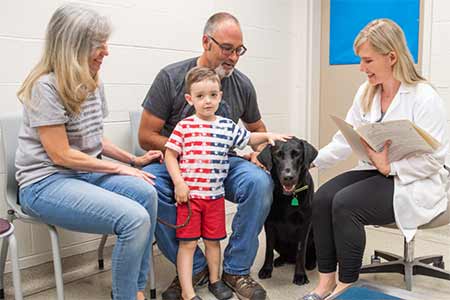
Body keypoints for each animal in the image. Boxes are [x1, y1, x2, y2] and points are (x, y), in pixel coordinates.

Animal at [256, 137, 316, 284]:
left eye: (297, 154)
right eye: (278, 155)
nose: (288, 177)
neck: (288, 197)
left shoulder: (305, 224)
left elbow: (300, 250)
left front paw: (300, 275)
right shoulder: (269, 223)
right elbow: (268, 249)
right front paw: (266, 269)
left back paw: (310, 263)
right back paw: (280, 260)